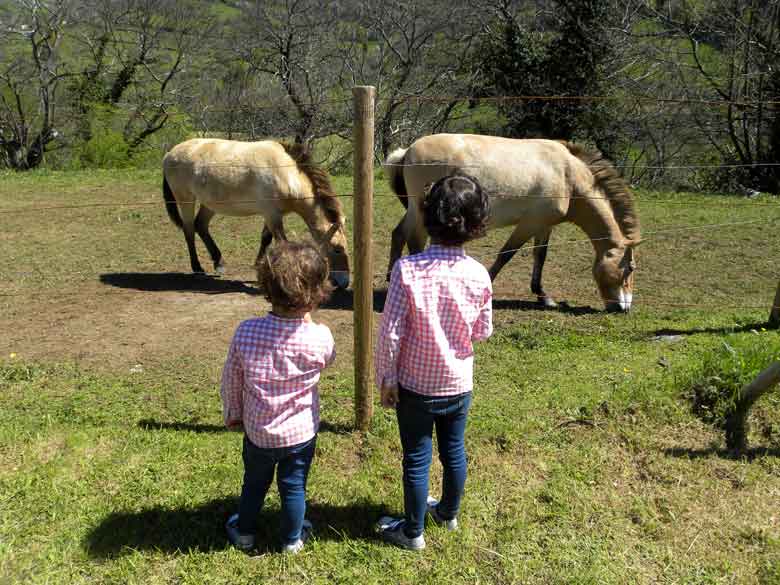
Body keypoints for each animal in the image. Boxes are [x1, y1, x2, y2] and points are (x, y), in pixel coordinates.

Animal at [163, 137, 348, 288]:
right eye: (337, 249)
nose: (344, 283)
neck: (286, 174)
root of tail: (170, 153)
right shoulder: (272, 214)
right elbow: (282, 242)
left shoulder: (272, 214)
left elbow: (266, 238)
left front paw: (259, 267)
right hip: (186, 199)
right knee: (189, 230)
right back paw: (197, 268)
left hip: (210, 204)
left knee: (200, 226)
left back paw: (219, 262)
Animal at [384, 134, 640, 312]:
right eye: (629, 268)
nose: (624, 308)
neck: (568, 176)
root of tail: (407, 151)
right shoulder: (528, 224)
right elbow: (506, 254)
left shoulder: (544, 225)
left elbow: (540, 256)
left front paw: (544, 297)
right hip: (421, 213)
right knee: (414, 240)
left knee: (398, 234)